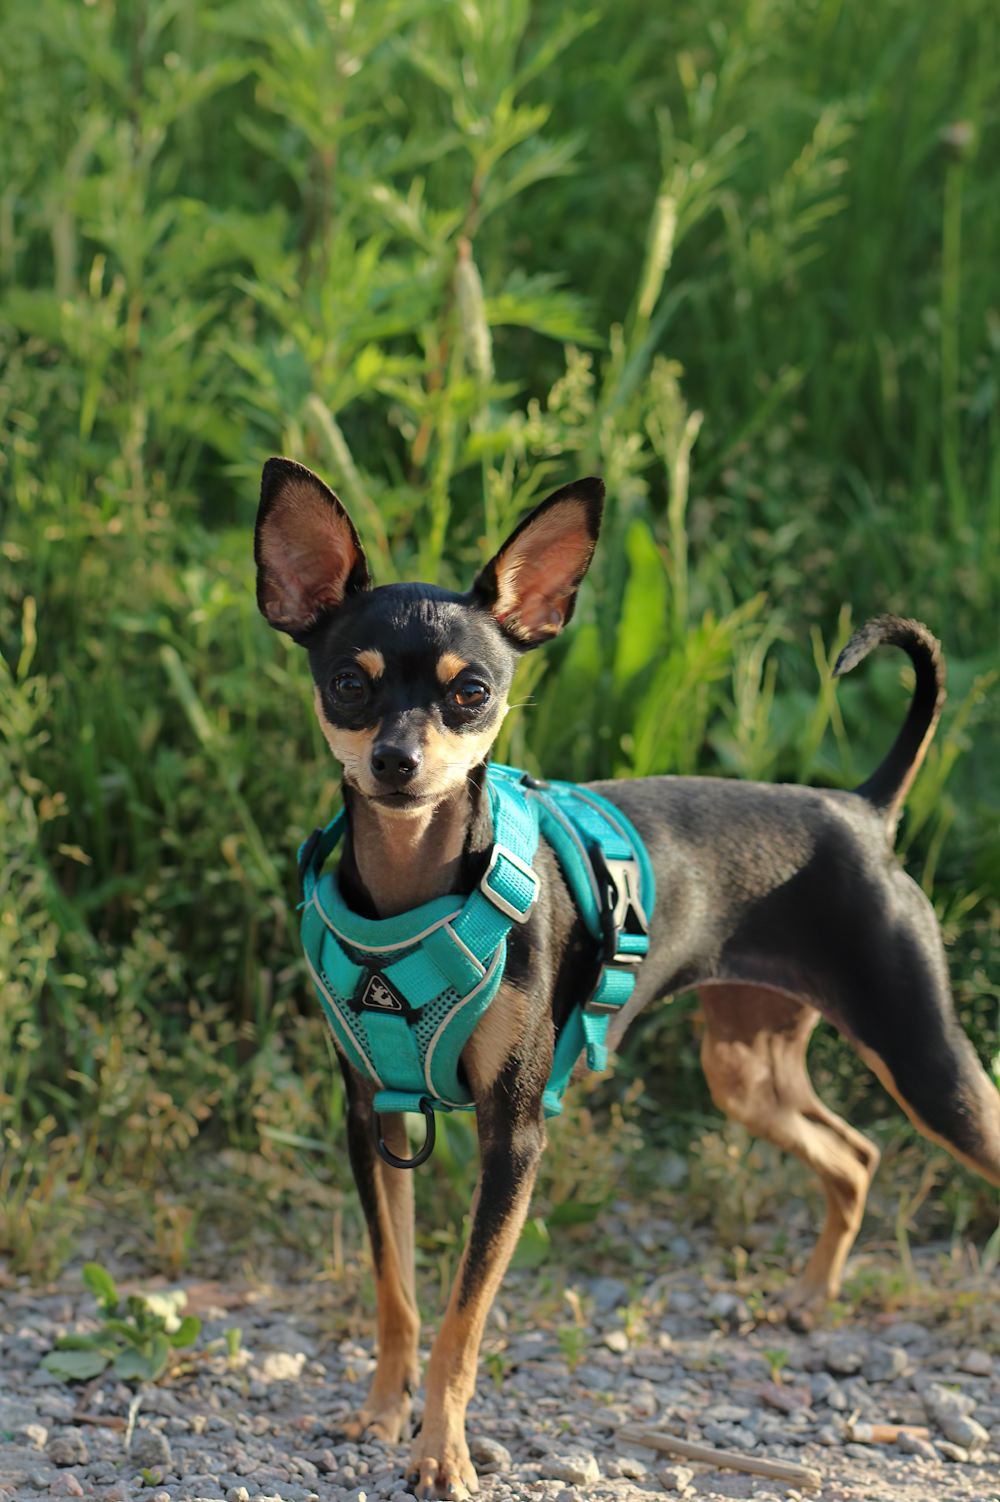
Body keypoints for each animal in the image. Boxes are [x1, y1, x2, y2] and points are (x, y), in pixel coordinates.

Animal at [250, 459, 996, 1502]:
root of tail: (863, 809)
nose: (397, 762)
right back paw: (809, 1301)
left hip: (925, 1059)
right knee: (853, 1154)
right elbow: (398, 1294)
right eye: (347, 684)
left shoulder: (514, 1135)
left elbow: (461, 1323)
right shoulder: (374, 1118)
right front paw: (381, 1414)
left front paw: (441, 1452)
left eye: (472, 691)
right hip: (747, 1067)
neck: (416, 888)